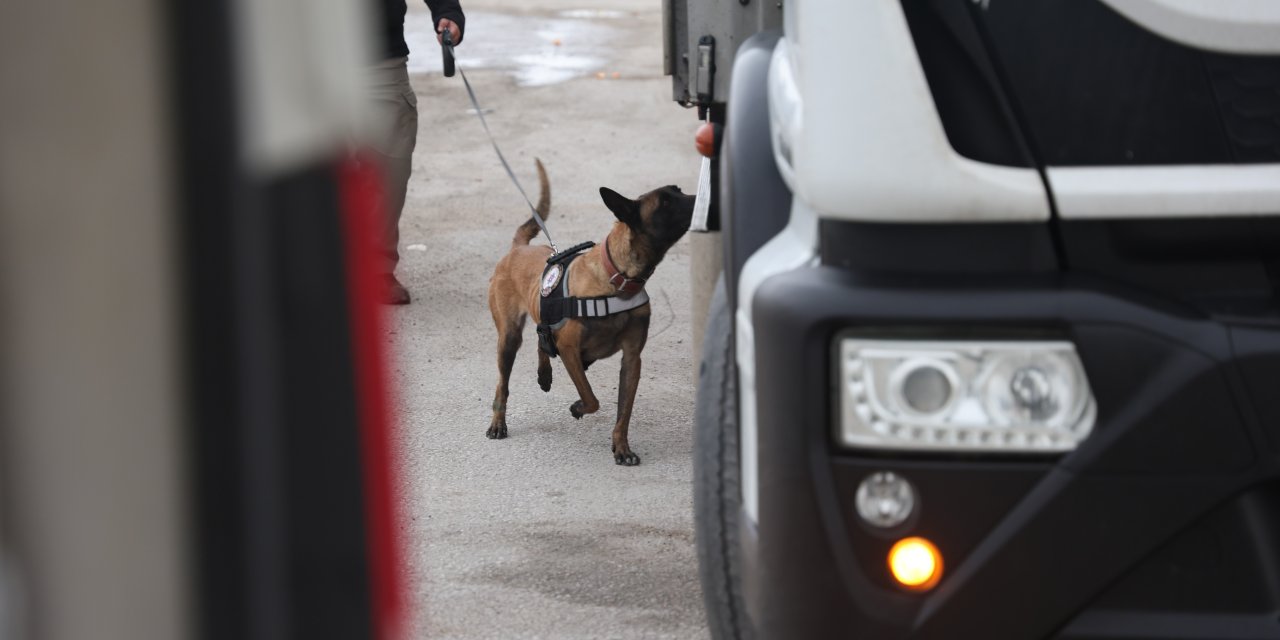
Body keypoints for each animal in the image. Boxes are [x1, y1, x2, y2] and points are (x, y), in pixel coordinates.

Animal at [483, 157, 696, 463]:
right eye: (665, 202)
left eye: (678, 190)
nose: (703, 196)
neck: (617, 277)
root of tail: (518, 248)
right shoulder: (570, 348)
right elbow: (591, 398)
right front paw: (578, 408)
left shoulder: (632, 358)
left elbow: (624, 412)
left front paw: (622, 447)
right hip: (509, 338)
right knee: (504, 382)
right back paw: (498, 423)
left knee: (542, 338)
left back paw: (544, 374)